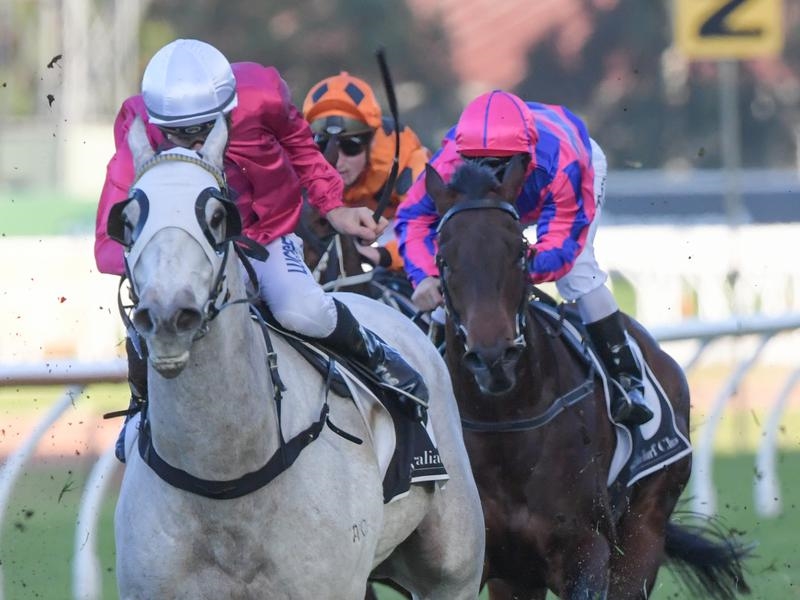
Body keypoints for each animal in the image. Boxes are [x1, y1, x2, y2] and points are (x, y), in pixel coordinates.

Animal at [423, 155, 751, 599]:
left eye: (520, 253)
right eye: (444, 259)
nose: (493, 359)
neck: (505, 423)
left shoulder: (586, 548)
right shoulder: (477, 561)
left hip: (644, 531)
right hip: (519, 576)